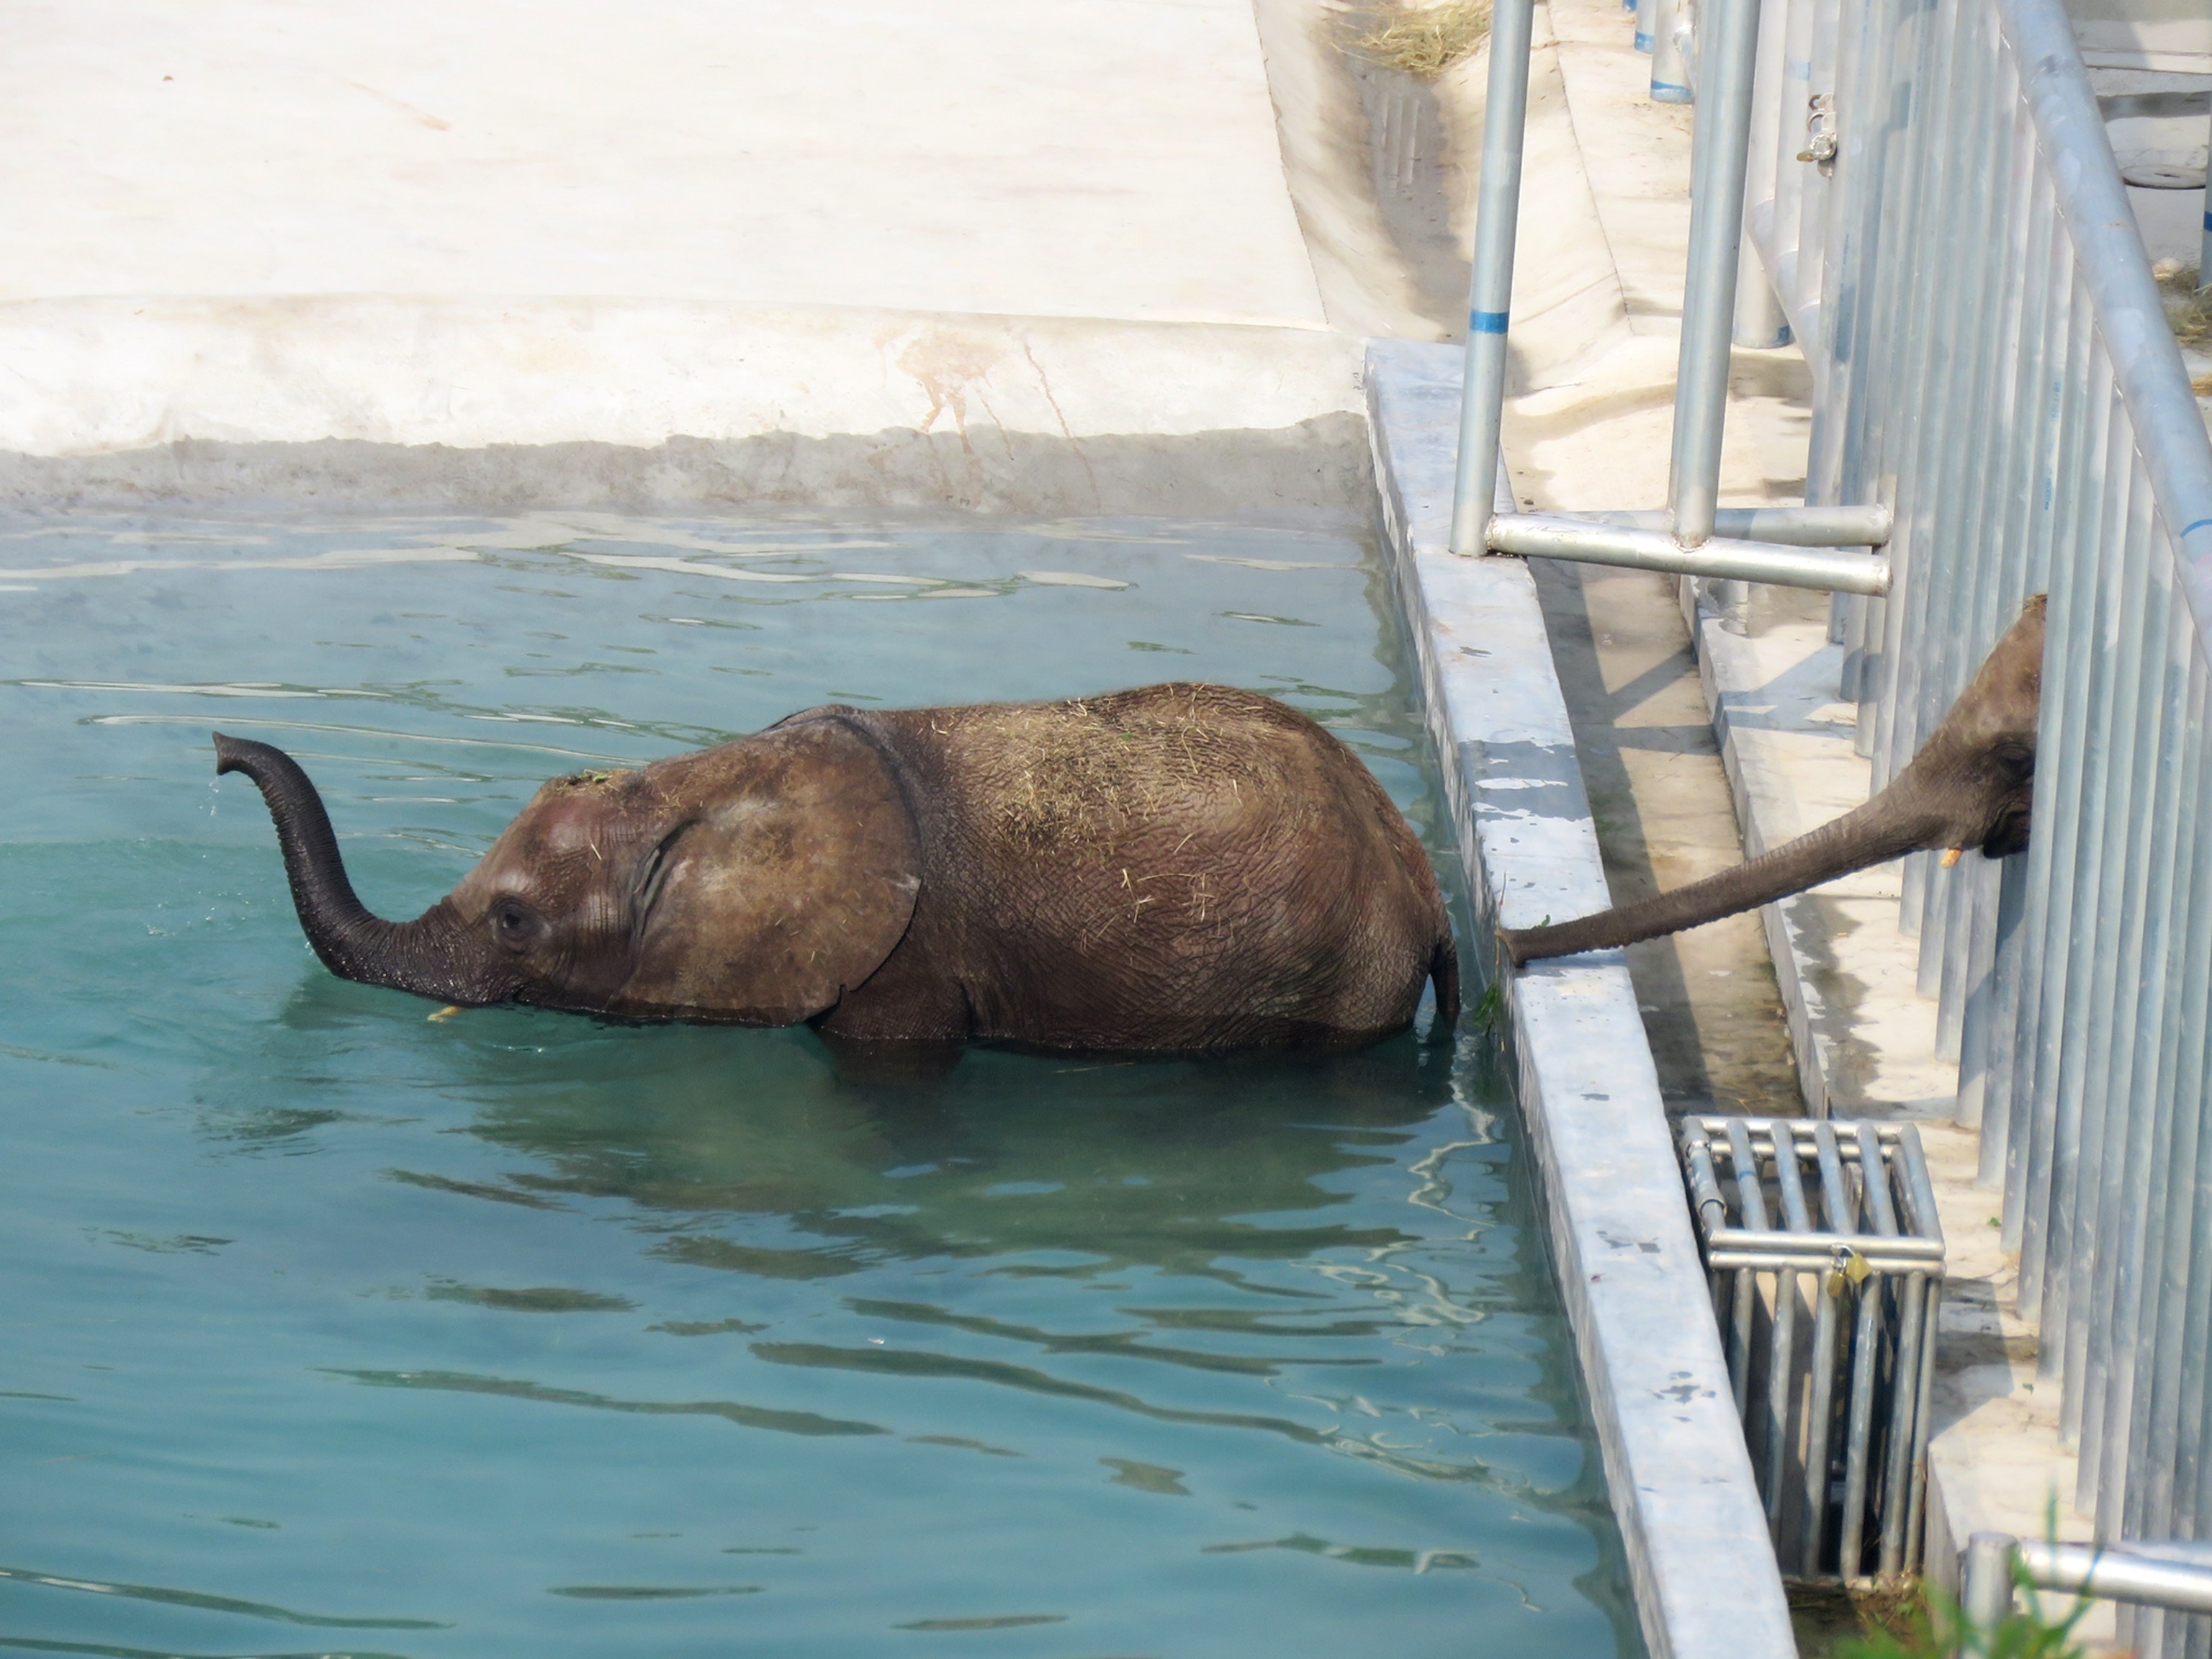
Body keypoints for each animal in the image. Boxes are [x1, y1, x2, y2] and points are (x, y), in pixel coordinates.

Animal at [216, 682, 1459, 1055]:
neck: (707, 791)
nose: (222, 749)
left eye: (514, 922)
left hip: (1344, 973)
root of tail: (1423, 876)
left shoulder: (904, 963)